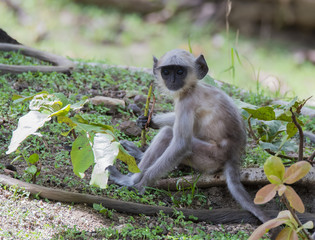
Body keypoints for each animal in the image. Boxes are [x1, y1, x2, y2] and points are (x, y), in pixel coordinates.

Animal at [107, 48, 270, 223]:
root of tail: (232, 156)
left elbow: (181, 145)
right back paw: (138, 156)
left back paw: (128, 179)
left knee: (171, 135)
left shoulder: (187, 102)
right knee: (169, 132)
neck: (191, 88)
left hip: (210, 158)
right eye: (166, 72)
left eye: (180, 71)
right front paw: (147, 121)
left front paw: (140, 184)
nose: (172, 80)